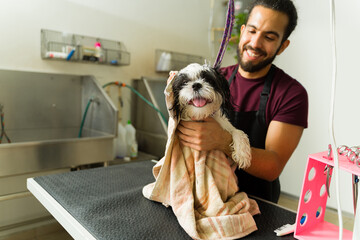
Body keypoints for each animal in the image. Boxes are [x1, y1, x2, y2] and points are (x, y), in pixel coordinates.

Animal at [142, 70, 260, 239]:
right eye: (184, 82)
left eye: (207, 79)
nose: (196, 85)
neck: (200, 118)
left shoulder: (226, 127)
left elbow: (238, 133)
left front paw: (243, 153)